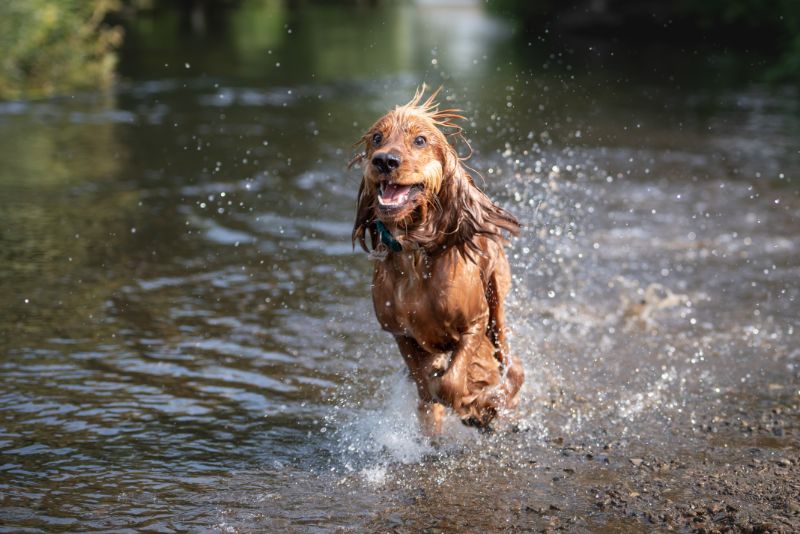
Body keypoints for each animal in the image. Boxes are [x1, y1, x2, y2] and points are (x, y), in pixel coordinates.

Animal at [352, 87, 524, 436]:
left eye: (420, 140)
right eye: (376, 137)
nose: (384, 161)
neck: (414, 250)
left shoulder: (475, 322)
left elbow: (450, 385)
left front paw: (477, 405)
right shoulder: (400, 333)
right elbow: (427, 388)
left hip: (497, 305)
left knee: (513, 369)